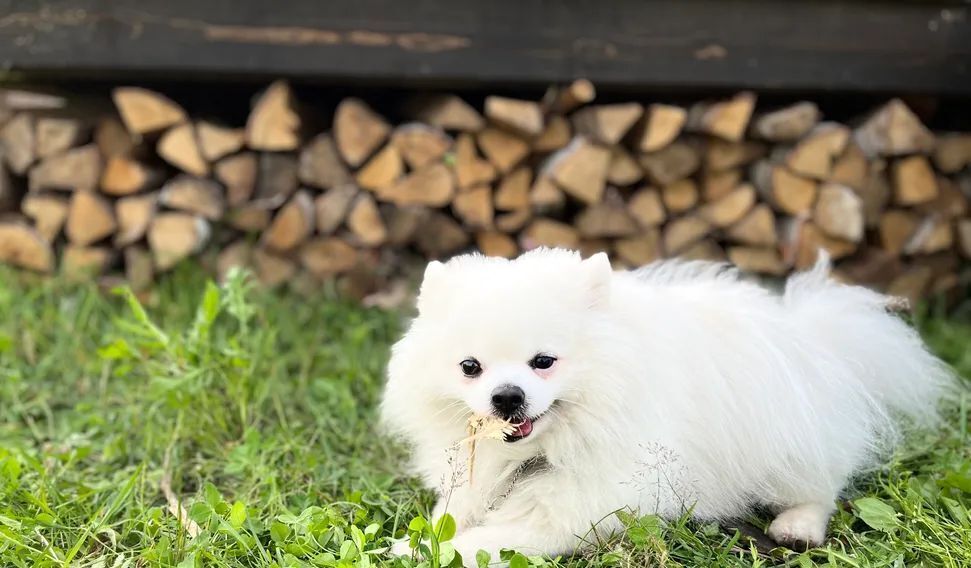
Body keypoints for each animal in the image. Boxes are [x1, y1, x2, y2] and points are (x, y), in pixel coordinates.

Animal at [380, 248, 948, 564]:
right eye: (470, 367)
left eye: (543, 361)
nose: (506, 396)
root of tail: (816, 337)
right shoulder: (474, 481)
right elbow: (449, 517)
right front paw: (416, 541)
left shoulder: (572, 511)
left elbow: (484, 540)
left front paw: (426, 552)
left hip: (787, 449)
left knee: (823, 486)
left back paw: (797, 525)